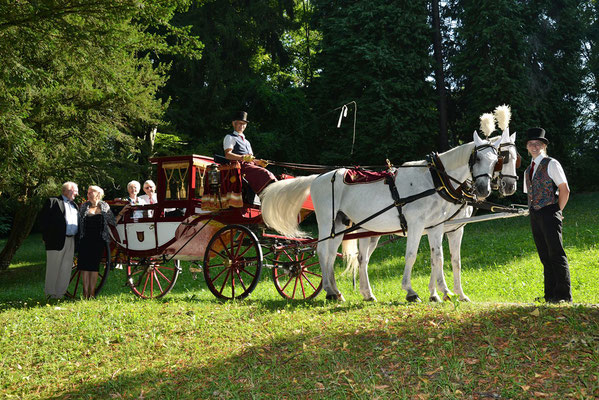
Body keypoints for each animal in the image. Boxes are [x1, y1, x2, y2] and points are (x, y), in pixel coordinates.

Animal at [262, 130, 502, 300]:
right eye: (477, 159)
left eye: (495, 161)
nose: (484, 190)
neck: (433, 179)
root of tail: (317, 178)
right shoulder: (417, 225)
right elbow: (412, 255)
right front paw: (411, 291)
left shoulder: (436, 227)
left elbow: (441, 258)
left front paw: (446, 293)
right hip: (326, 223)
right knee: (322, 252)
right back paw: (330, 291)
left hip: (341, 225)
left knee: (333, 256)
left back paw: (339, 292)